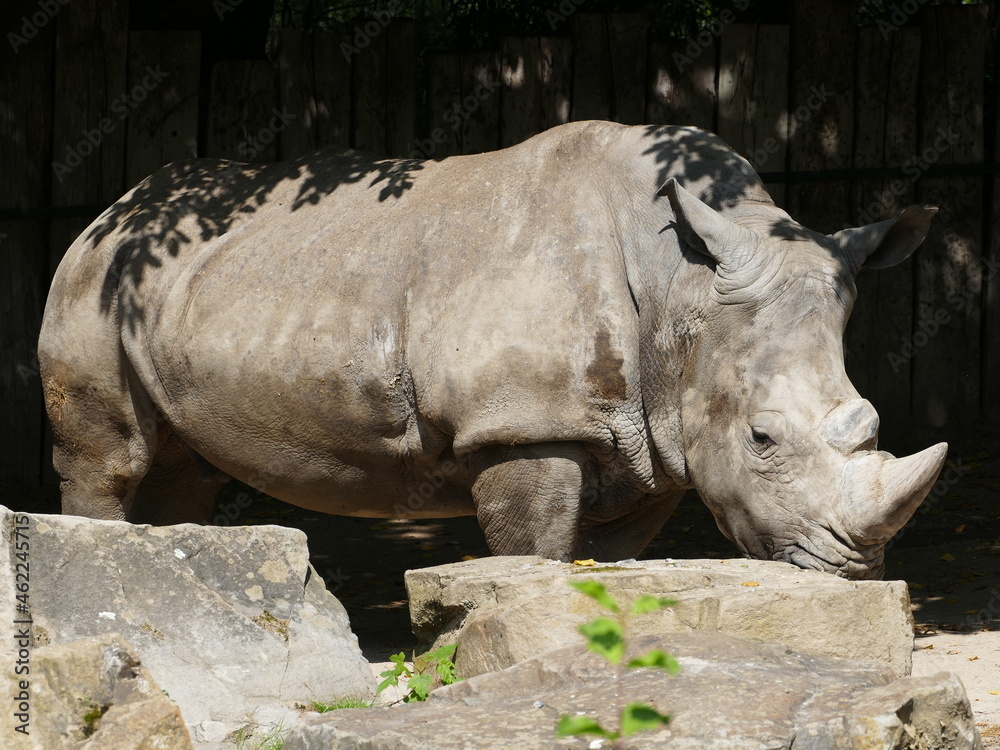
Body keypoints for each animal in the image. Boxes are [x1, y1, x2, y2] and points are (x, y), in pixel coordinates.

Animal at [38, 121, 946, 579]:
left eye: (870, 422)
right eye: (761, 438)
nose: (852, 566)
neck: (684, 290)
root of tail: (110, 210)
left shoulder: (659, 438)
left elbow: (605, 560)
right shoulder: (523, 424)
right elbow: (534, 554)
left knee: (186, 472)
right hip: (94, 281)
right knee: (110, 459)